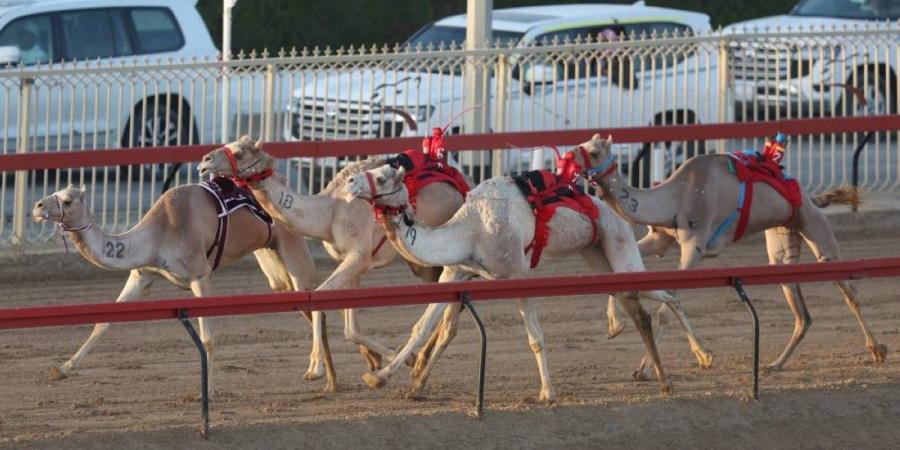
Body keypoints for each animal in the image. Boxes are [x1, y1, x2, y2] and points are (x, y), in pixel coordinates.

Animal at [32, 184, 338, 394]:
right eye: (56, 190)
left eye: (67, 199)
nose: (37, 206)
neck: (156, 236)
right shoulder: (142, 274)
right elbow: (103, 322)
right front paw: (62, 368)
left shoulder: (200, 275)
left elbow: (207, 338)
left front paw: (210, 390)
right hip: (269, 255)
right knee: (298, 300)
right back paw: (327, 375)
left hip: (291, 241)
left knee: (314, 298)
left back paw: (317, 371)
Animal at [198, 137, 472, 376]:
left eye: (240, 152)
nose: (204, 160)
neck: (330, 211)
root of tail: (464, 186)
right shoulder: (351, 262)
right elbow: (351, 329)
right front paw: (398, 359)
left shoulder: (358, 256)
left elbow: (319, 296)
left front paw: (314, 369)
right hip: (421, 262)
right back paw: (420, 361)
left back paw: (422, 367)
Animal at [342, 162, 712, 400]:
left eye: (383, 175)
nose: (348, 182)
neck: (470, 229)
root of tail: (616, 213)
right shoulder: (456, 270)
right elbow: (422, 328)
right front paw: (383, 378)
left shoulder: (517, 273)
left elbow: (535, 336)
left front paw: (547, 393)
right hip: (599, 256)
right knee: (646, 305)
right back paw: (669, 375)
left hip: (618, 244)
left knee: (663, 296)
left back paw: (697, 361)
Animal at [568, 134, 884, 376]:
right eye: (582, 143)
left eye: (594, 151)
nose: (569, 156)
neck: (675, 195)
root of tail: (811, 197)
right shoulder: (659, 239)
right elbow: (624, 275)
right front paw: (615, 326)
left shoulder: (694, 246)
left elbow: (666, 308)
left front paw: (651, 368)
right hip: (782, 236)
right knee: (801, 311)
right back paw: (774, 364)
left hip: (814, 225)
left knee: (849, 292)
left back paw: (878, 349)